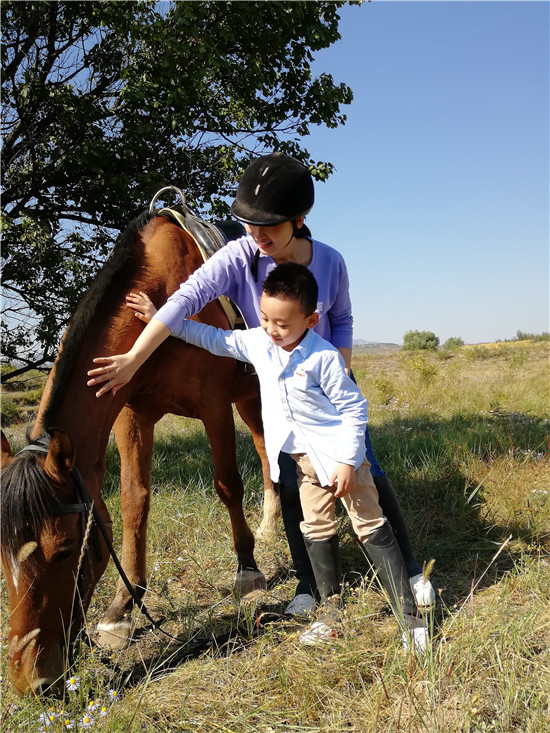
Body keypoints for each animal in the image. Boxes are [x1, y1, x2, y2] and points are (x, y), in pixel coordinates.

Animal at [0, 210, 276, 692]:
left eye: (65, 549)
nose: (31, 681)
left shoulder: (214, 406)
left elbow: (228, 485)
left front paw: (247, 569)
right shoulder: (131, 415)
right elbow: (134, 502)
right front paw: (120, 610)